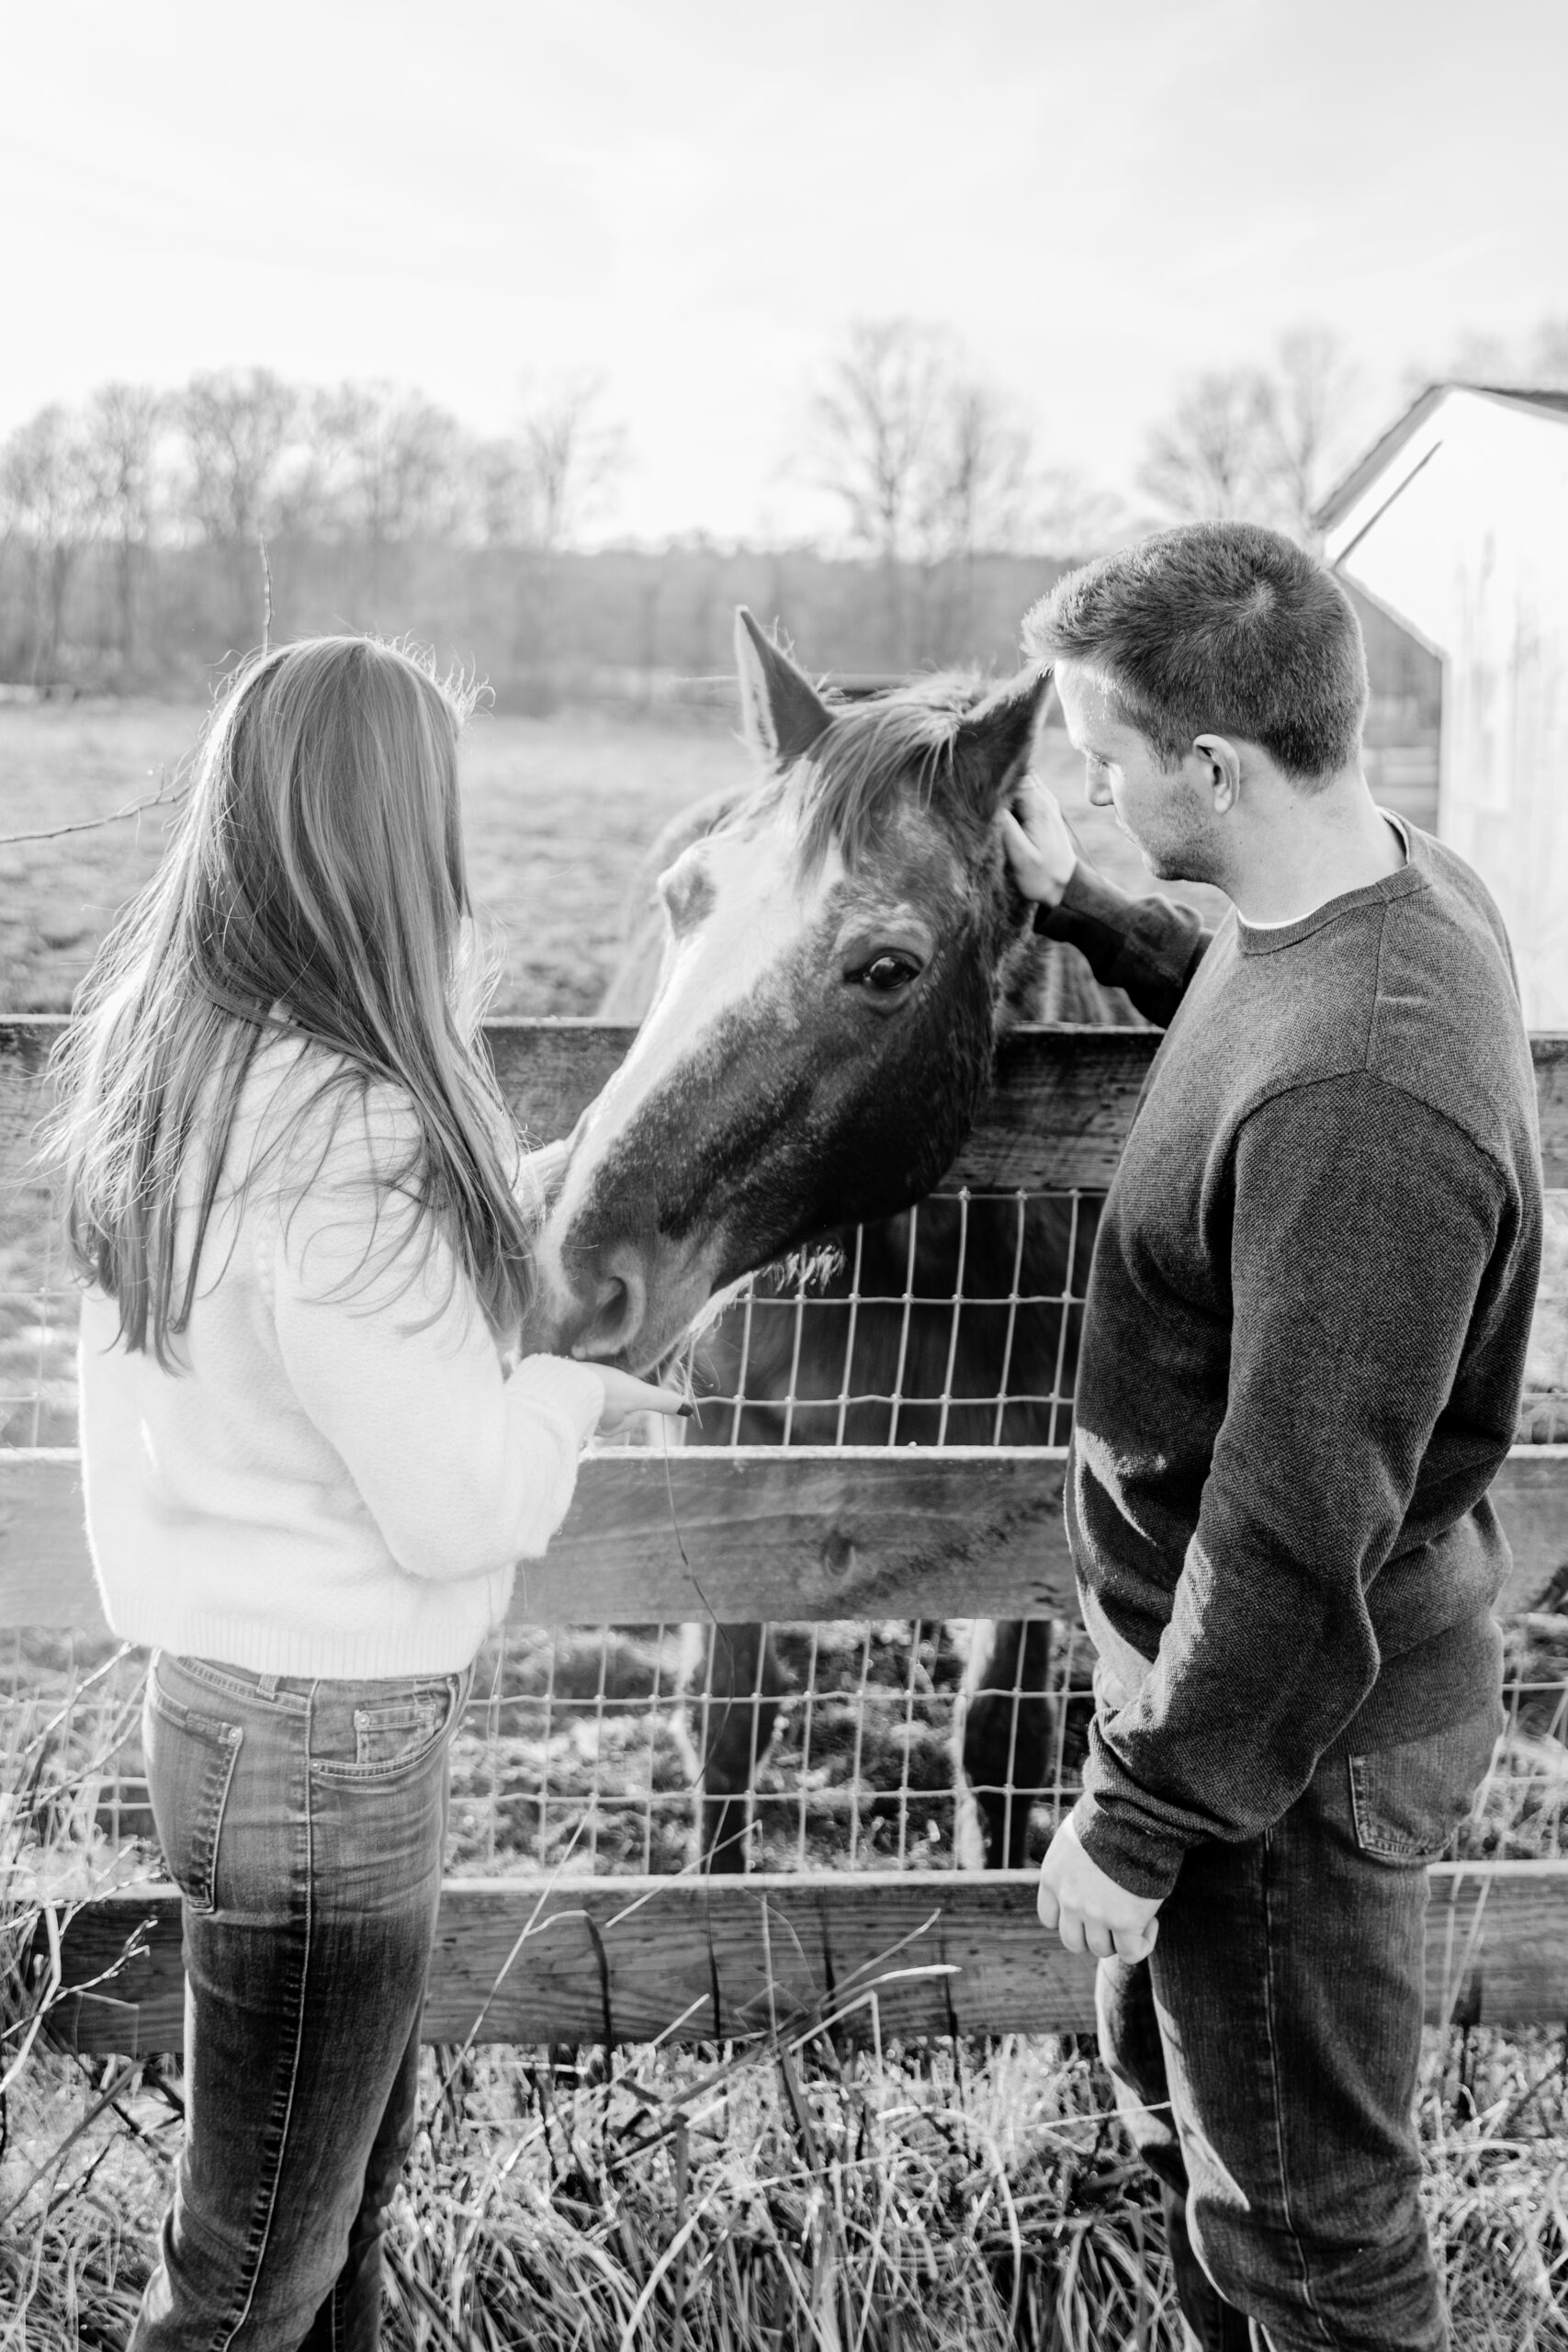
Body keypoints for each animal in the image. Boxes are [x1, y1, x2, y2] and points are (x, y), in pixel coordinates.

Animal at [533, 620, 1133, 1871]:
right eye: (684, 898)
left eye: (888, 967)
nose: (575, 1271)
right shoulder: (720, 1437)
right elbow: (727, 1714)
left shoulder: (1031, 1471)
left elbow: (999, 1736)